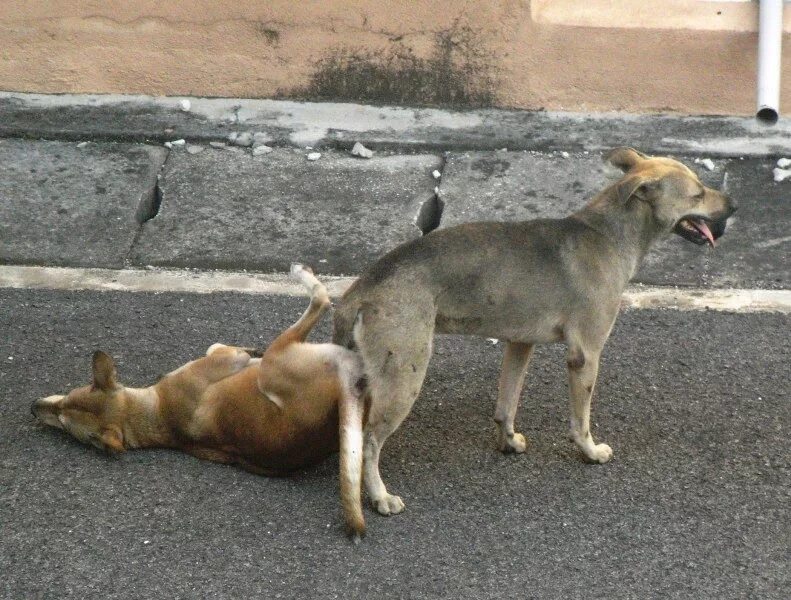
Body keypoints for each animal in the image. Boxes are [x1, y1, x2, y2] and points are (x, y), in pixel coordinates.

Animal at [33, 266, 372, 536]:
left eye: (65, 403)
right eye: (64, 423)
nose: (33, 407)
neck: (155, 414)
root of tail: (337, 402)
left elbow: (218, 346)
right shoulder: (230, 360)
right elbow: (223, 349)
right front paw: (245, 349)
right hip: (283, 351)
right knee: (320, 299)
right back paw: (302, 274)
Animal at [334, 149, 736, 536]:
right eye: (698, 193)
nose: (734, 206)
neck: (608, 235)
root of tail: (360, 290)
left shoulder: (519, 344)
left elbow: (506, 405)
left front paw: (508, 442)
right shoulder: (585, 355)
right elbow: (580, 421)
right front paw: (590, 452)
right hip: (405, 376)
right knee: (369, 443)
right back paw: (379, 496)